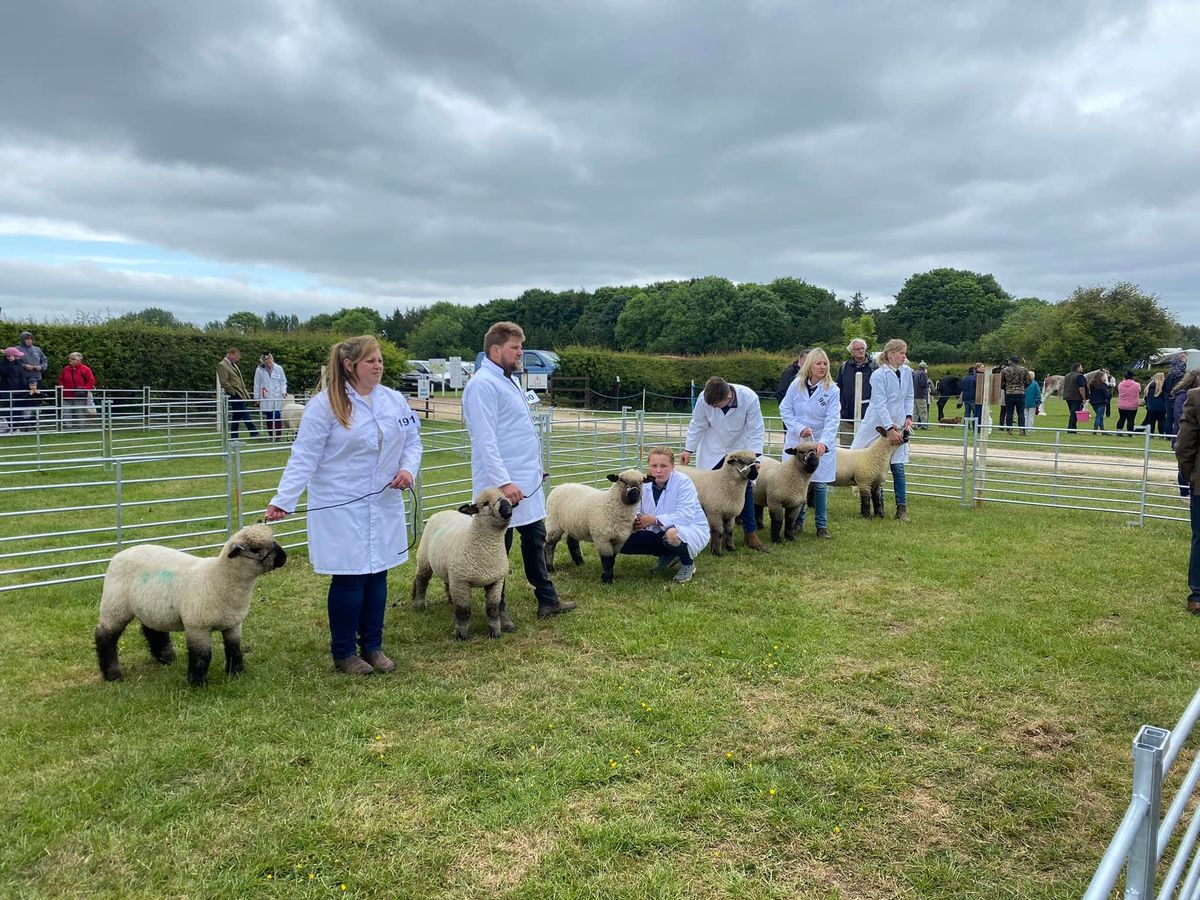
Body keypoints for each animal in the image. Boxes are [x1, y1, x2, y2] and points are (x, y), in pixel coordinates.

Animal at [94, 525, 286, 686]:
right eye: (255, 549)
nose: (283, 557)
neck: (218, 578)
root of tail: (120, 553)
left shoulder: (233, 623)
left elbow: (234, 649)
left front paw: (236, 673)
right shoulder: (197, 626)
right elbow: (202, 656)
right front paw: (197, 684)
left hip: (150, 606)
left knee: (152, 629)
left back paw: (167, 658)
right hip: (115, 604)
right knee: (104, 636)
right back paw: (112, 674)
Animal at [410, 494, 513, 643]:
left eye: (505, 497)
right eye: (485, 503)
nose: (508, 507)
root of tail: (443, 511)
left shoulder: (496, 581)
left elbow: (492, 608)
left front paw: (495, 632)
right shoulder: (461, 582)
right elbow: (463, 610)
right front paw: (461, 635)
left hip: (449, 569)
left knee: (446, 583)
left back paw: (450, 601)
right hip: (424, 559)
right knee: (421, 581)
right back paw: (419, 604)